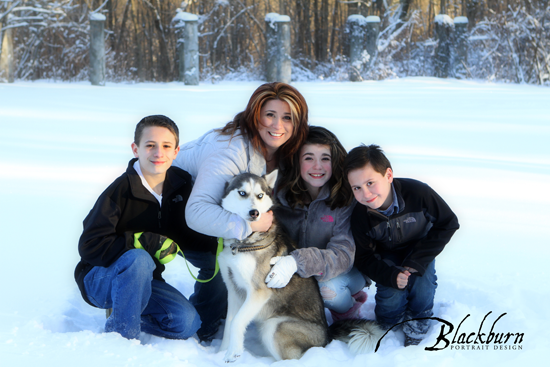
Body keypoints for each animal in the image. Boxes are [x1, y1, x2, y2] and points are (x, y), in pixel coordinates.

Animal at [220, 172, 384, 362]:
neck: (243, 244)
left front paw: (233, 352)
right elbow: (229, 323)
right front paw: (221, 352)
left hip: (274, 326)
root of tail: (327, 335)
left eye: (260, 195)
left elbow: (237, 322)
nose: (254, 213)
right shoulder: (233, 290)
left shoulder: (258, 292)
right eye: (242, 193)